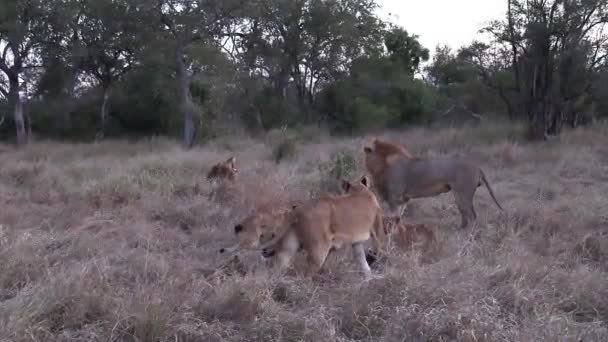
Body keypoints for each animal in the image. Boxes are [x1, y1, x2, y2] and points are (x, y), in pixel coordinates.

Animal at [221, 176, 388, 278]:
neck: (360, 190)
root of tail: (300, 208)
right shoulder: (377, 228)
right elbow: (379, 250)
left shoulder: (356, 242)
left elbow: (362, 261)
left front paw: (368, 278)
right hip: (318, 250)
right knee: (307, 274)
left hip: (289, 246)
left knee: (279, 266)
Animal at [364, 138, 502, 228]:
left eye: (366, 152)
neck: (382, 165)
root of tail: (477, 167)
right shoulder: (402, 199)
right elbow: (399, 218)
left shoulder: (394, 197)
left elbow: (393, 218)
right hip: (460, 196)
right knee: (466, 216)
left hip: (463, 194)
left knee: (471, 215)